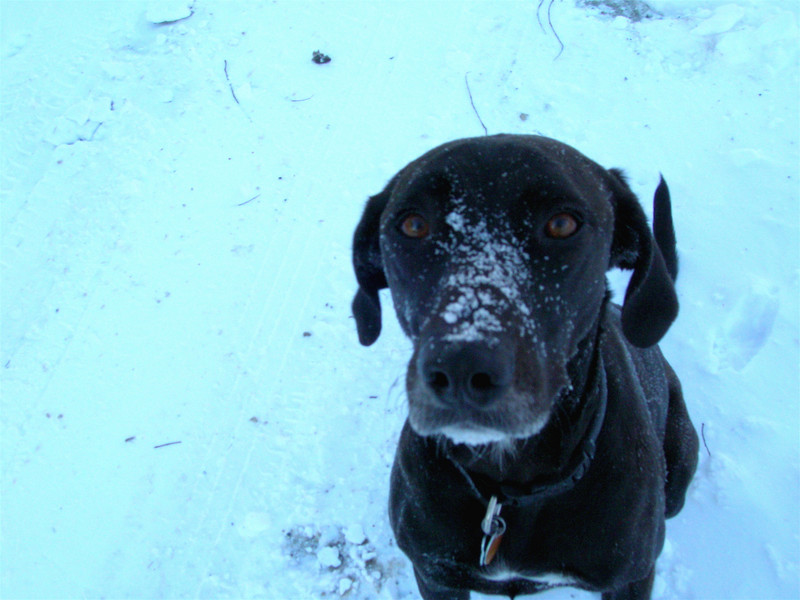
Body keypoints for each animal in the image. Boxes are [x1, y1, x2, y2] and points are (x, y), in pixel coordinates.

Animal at [351, 134, 699, 600]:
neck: (507, 489)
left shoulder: (632, 578)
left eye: (562, 224)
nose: (461, 370)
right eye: (413, 225)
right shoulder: (434, 574)